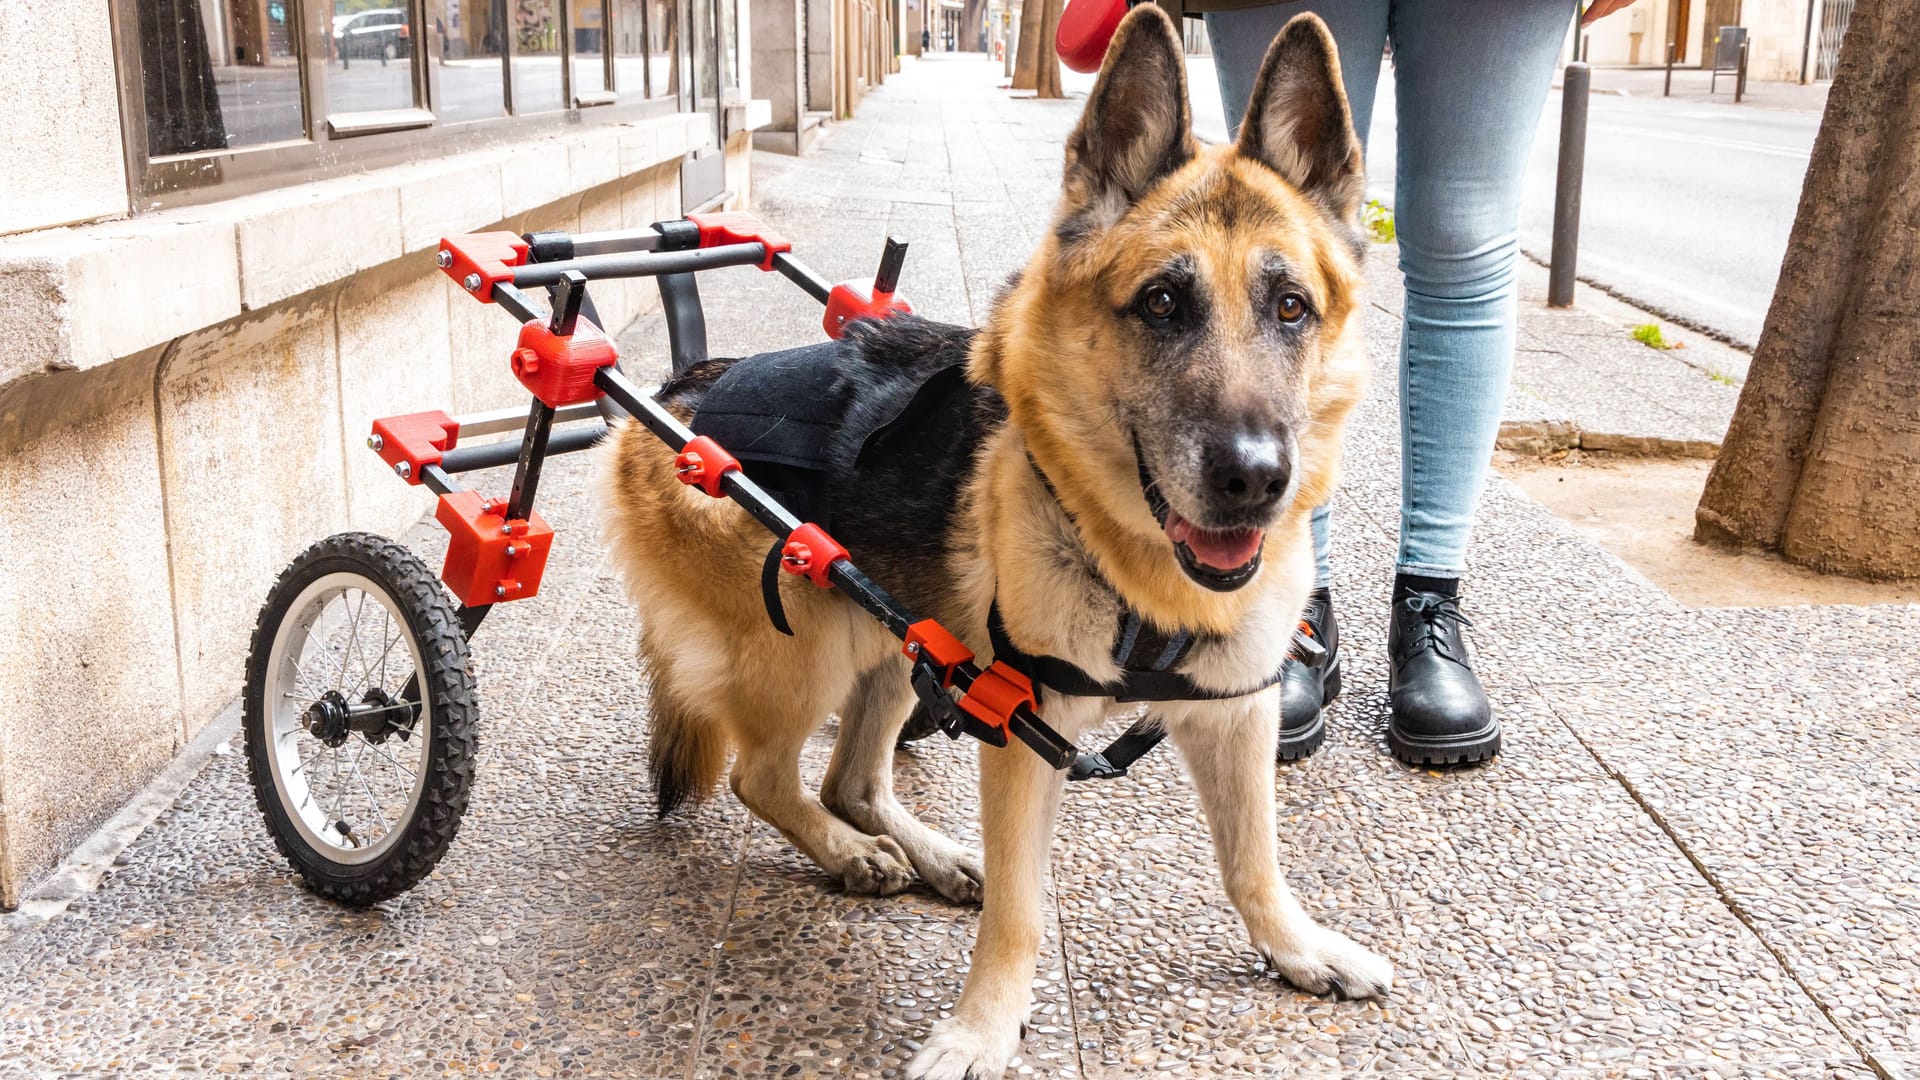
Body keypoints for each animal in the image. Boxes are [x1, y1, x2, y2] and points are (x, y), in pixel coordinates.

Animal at [606, 6, 1390, 1068]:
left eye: (1292, 307)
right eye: (1162, 303)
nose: (1255, 482)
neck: (1137, 573)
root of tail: (682, 390)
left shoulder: (1238, 716)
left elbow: (1254, 863)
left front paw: (1298, 948)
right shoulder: (1023, 739)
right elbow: (1020, 911)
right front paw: (984, 1027)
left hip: (906, 644)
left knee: (852, 780)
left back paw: (926, 854)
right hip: (812, 646)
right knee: (763, 778)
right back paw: (852, 855)